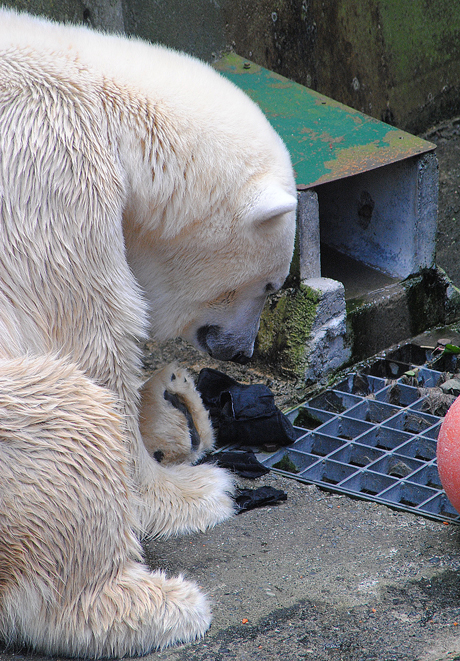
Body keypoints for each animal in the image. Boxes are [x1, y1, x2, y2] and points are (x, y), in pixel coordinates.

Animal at [0, 7, 296, 656]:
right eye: (269, 285)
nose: (242, 351)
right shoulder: (48, 173)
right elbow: (93, 339)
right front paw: (190, 492)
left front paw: (171, 407)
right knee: (66, 411)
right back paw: (156, 606)